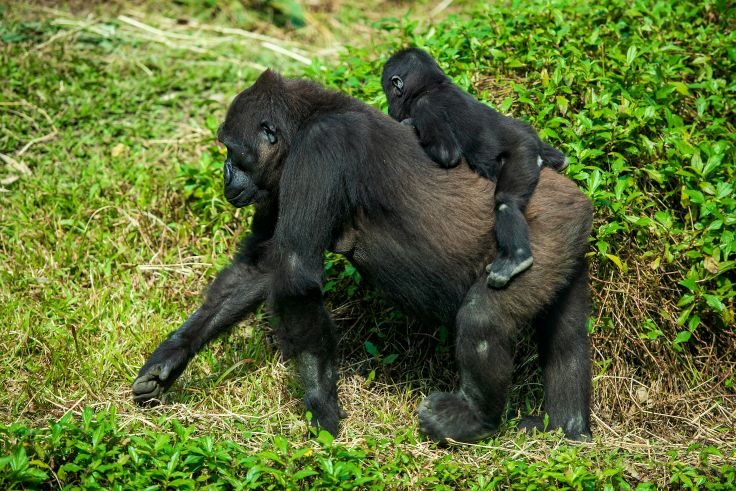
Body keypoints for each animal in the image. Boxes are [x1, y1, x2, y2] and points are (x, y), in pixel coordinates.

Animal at [382, 48, 569, 289]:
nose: (388, 107)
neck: (431, 86)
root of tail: (534, 146)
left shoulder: (425, 107)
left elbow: (446, 152)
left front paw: (408, 124)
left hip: (523, 155)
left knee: (506, 202)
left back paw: (516, 258)